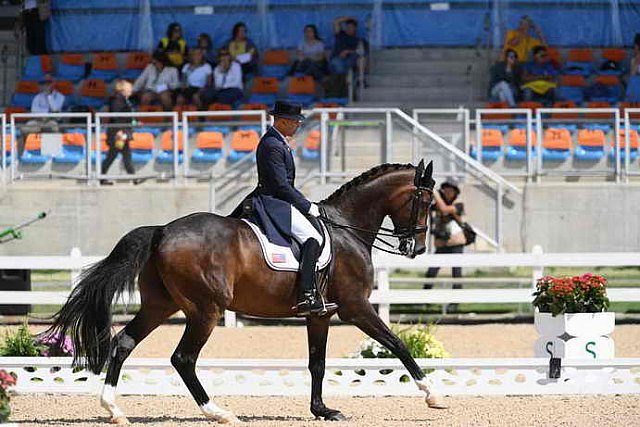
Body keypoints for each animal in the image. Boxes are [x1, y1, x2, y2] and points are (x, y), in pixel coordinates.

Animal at [47, 160, 444, 424]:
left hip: (160, 305)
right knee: (183, 358)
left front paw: (322, 410)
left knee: (123, 343)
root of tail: (161, 230)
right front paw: (433, 396)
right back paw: (219, 412)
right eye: (425, 202)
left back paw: (114, 410)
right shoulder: (355, 307)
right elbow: (397, 344)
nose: (416, 248)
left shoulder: (321, 313)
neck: (346, 228)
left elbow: (317, 363)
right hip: (205, 309)